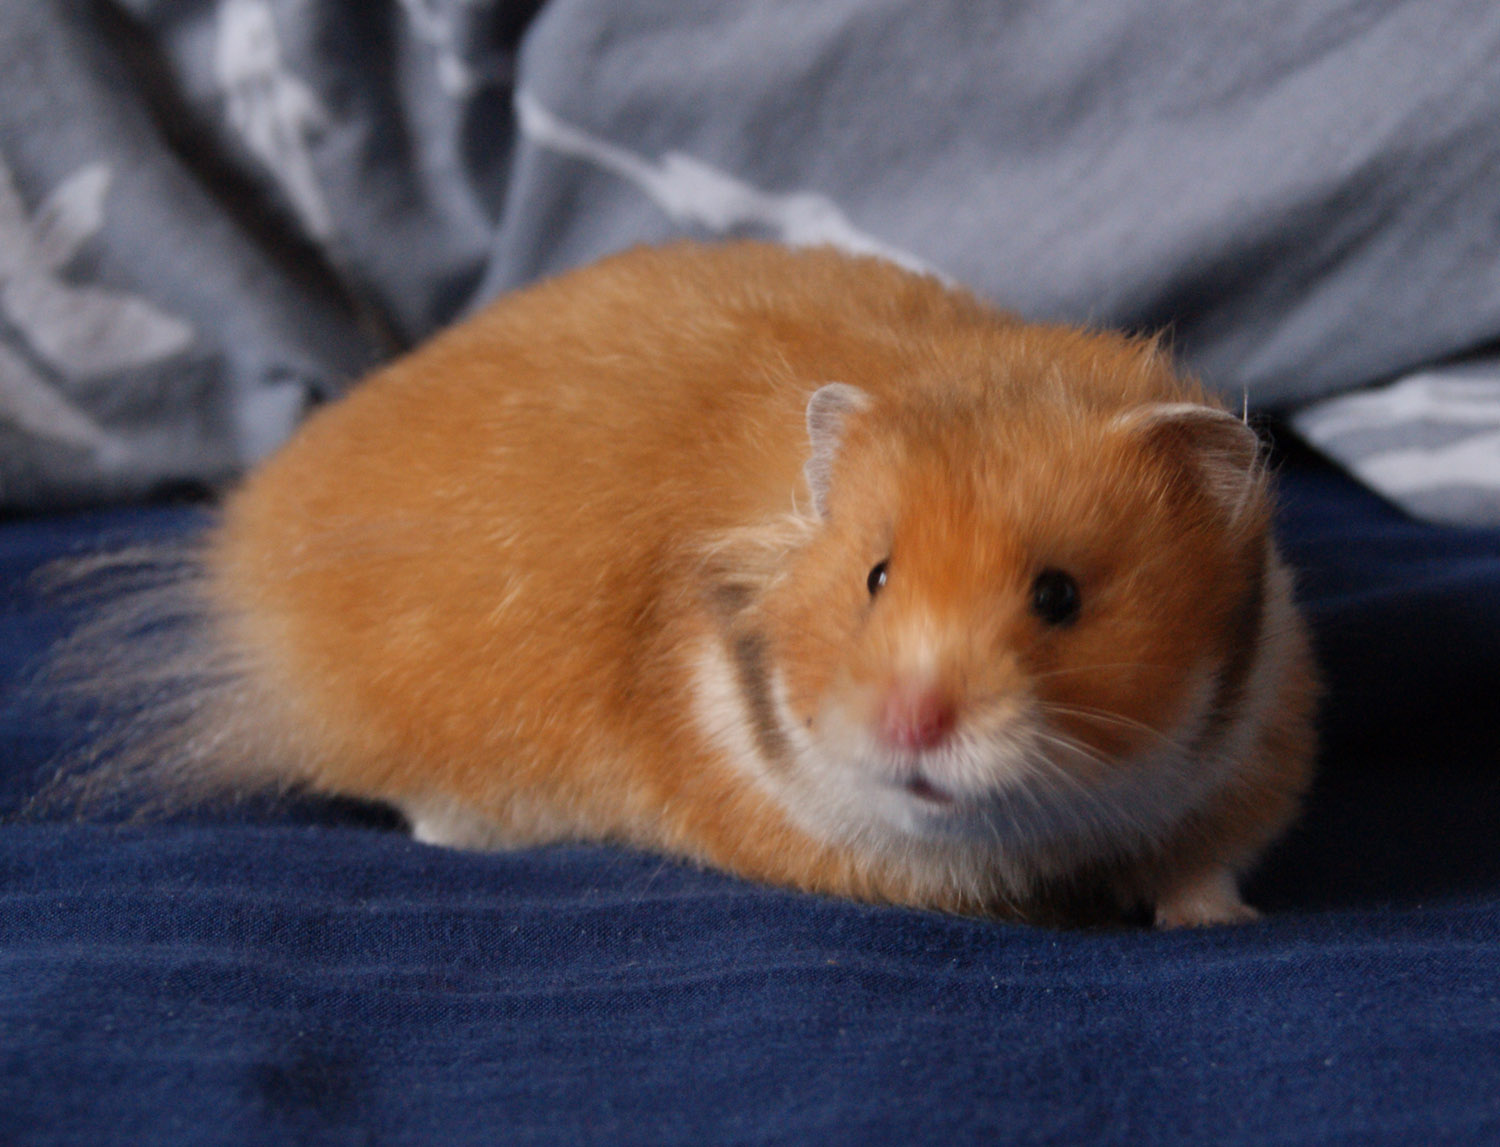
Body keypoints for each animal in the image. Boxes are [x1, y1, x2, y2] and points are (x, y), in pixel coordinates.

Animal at [45, 241, 1318, 928]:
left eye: (1061, 596)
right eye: (874, 575)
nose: (910, 721)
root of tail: (242, 548)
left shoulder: (1254, 754)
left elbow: (1205, 862)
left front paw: (1215, 919)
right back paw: (457, 831)